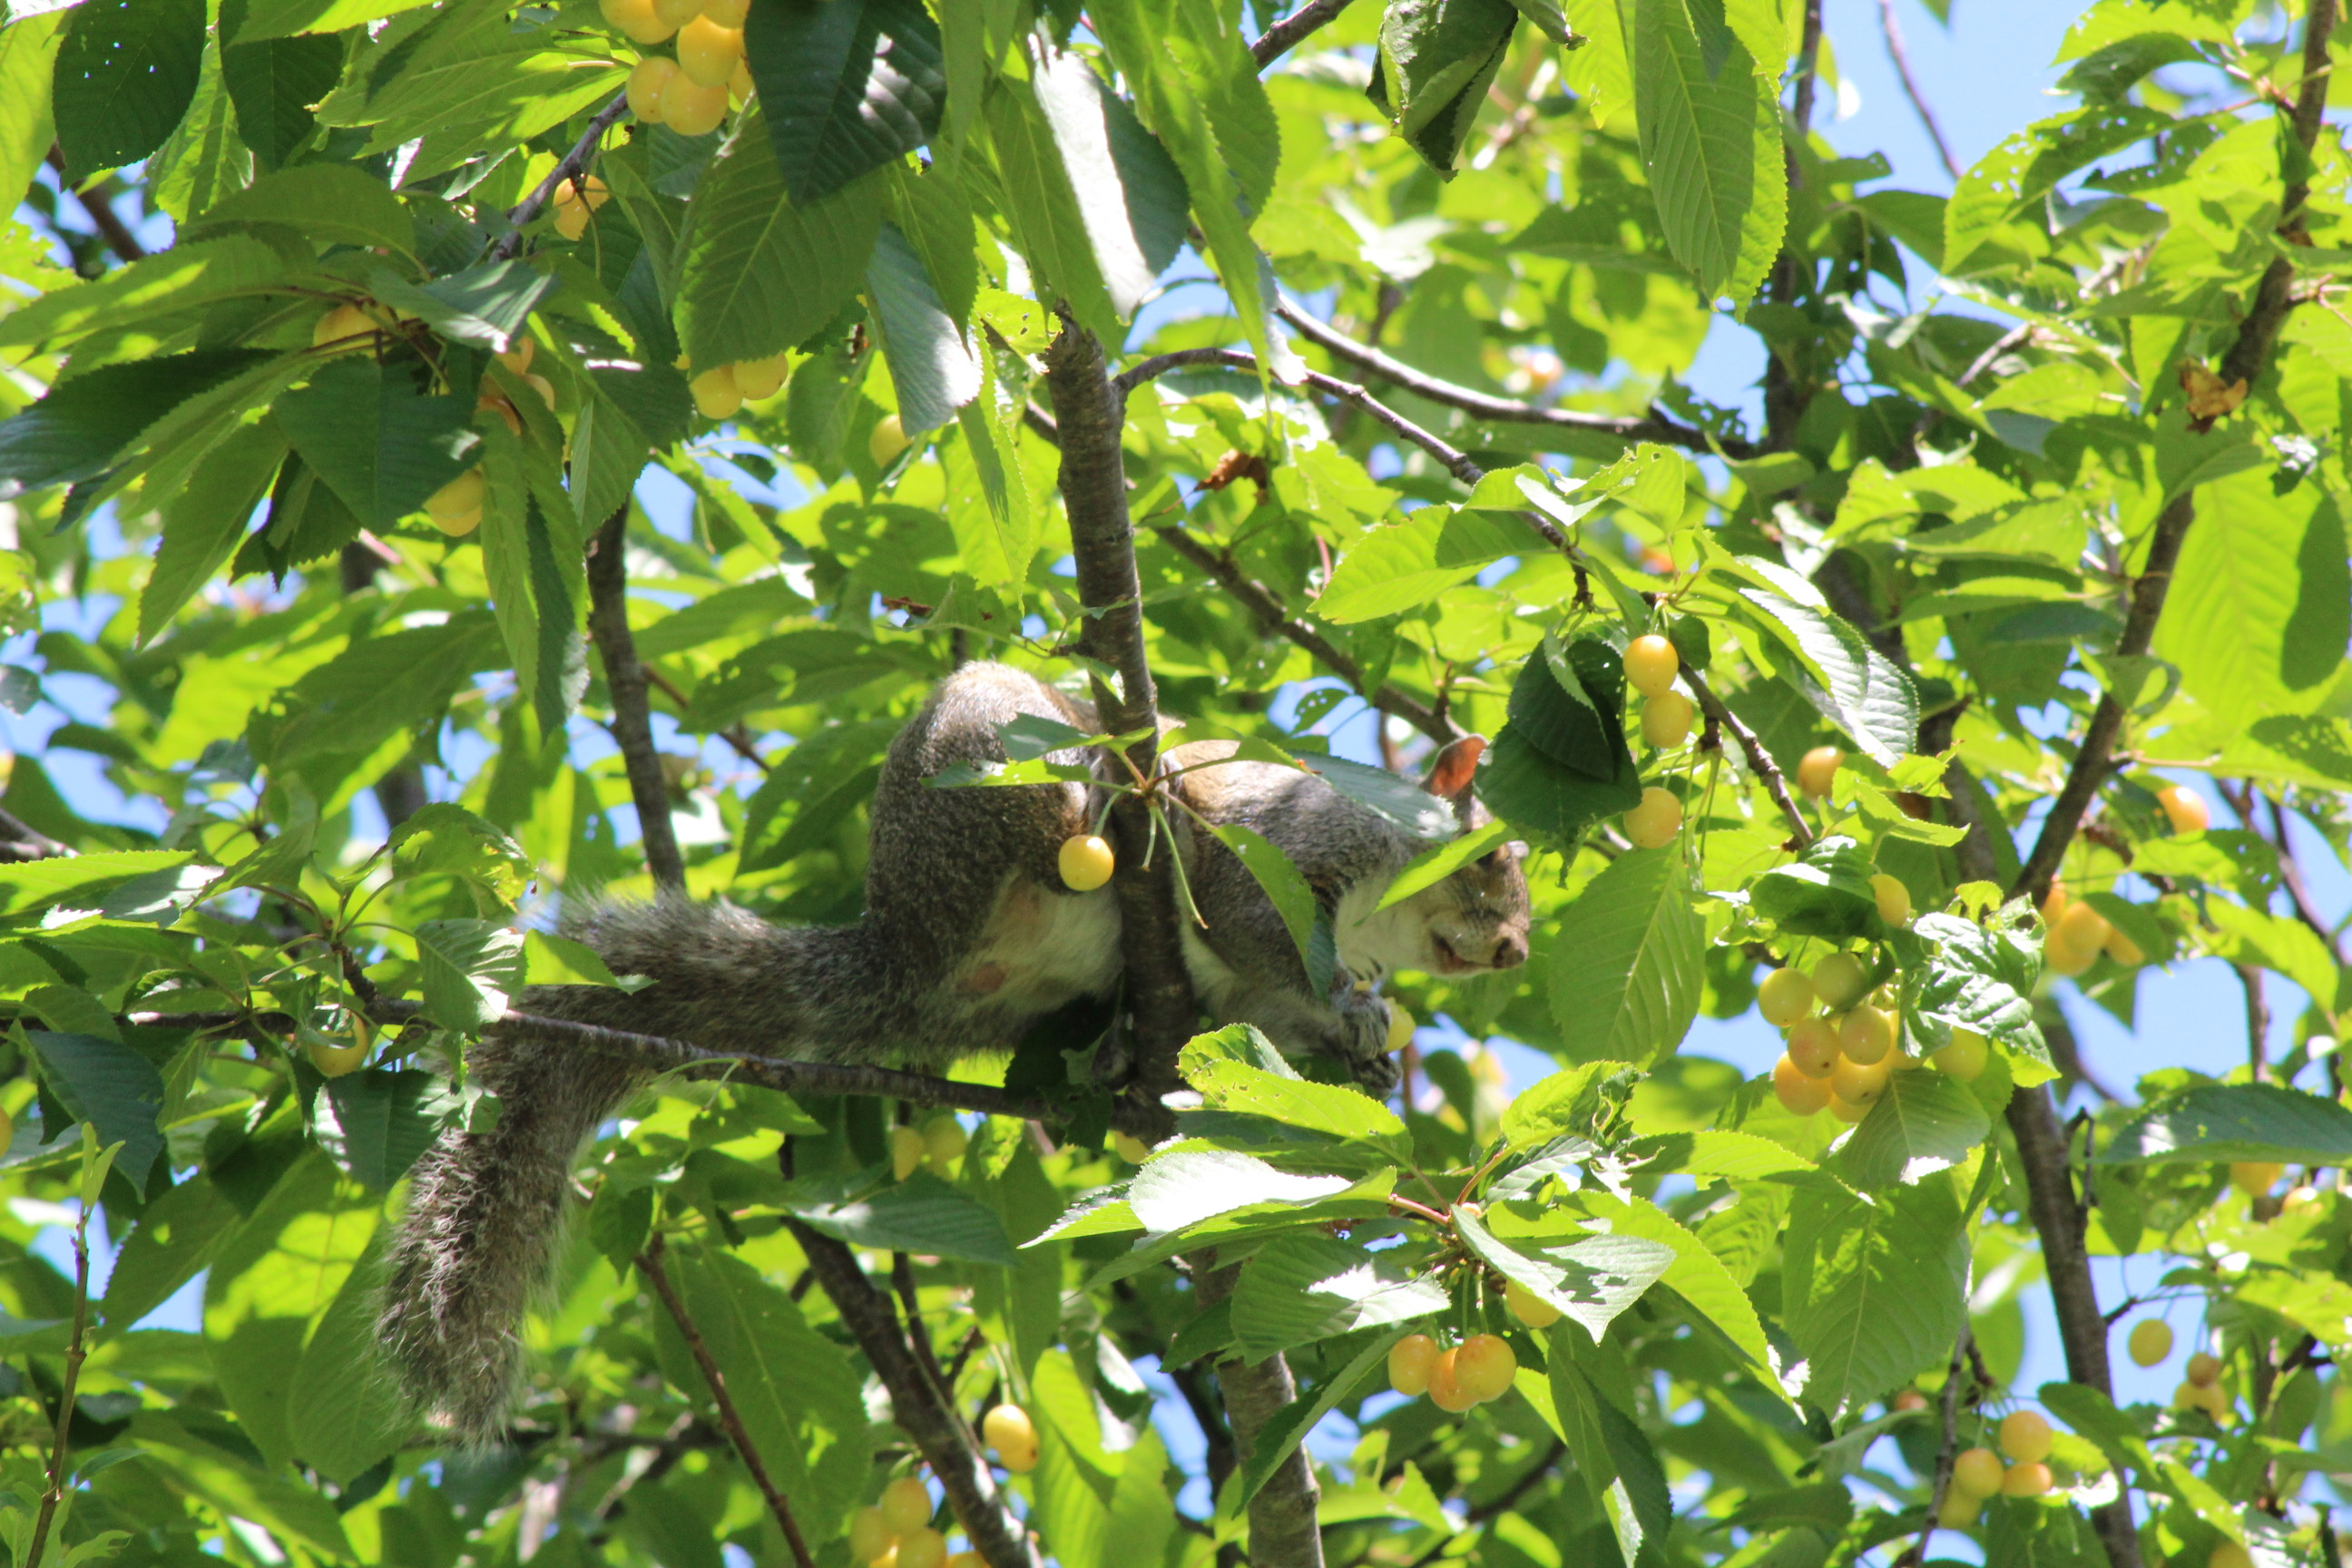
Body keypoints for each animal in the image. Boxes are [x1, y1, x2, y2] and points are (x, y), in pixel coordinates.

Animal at [378, 658, 1533, 1438]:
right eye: (1493, 861)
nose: (1518, 950)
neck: (1384, 912)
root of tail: (905, 943)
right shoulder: (1267, 848)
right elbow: (1258, 925)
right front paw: (1350, 1007)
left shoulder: (1251, 991)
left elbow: (1267, 1017)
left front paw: (1363, 1050)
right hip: (988, 761)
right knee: (1051, 801)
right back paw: (1095, 791)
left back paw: (1120, 1053)